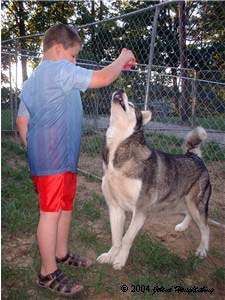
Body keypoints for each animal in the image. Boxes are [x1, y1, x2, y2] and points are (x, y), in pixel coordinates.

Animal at [96, 89, 211, 270]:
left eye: (131, 105)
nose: (121, 90)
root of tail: (194, 156)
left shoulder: (140, 210)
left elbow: (126, 239)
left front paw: (120, 260)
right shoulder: (115, 208)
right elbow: (116, 238)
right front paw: (110, 255)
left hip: (196, 205)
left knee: (206, 228)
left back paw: (202, 250)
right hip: (184, 202)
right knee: (190, 215)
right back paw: (182, 226)